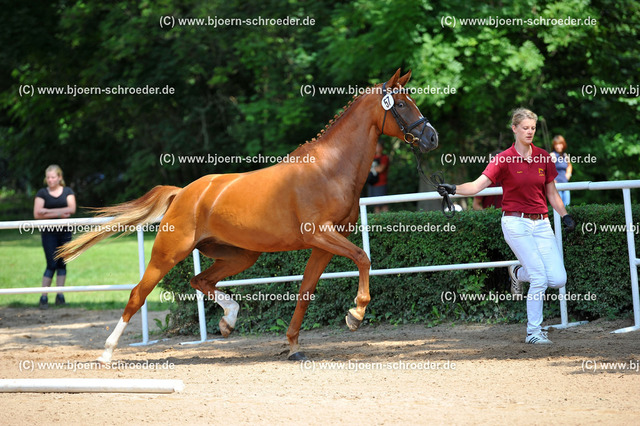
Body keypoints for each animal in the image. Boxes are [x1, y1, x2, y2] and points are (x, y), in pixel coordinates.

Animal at [57, 68, 438, 362]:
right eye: (401, 104)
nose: (431, 138)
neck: (329, 169)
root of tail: (183, 193)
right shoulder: (320, 235)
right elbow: (362, 258)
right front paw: (355, 314)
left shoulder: (323, 245)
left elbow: (306, 291)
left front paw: (294, 346)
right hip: (168, 253)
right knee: (138, 294)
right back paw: (107, 352)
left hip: (240, 255)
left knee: (201, 281)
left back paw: (228, 320)